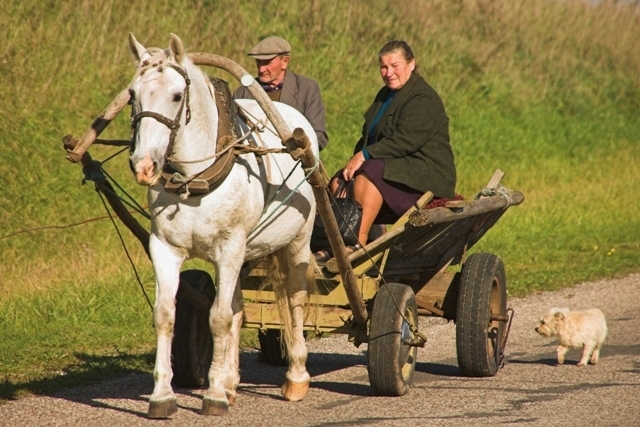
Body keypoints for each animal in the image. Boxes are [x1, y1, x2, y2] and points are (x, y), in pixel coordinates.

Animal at [127, 32, 320, 418]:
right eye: (133, 94)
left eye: (176, 95)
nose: (144, 164)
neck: (193, 179)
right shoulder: (165, 249)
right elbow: (167, 315)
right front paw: (163, 395)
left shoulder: (229, 247)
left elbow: (218, 318)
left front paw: (213, 395)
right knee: (237, 309)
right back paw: (231, 381)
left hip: (296, 242)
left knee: (295, 298)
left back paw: (296, 376)